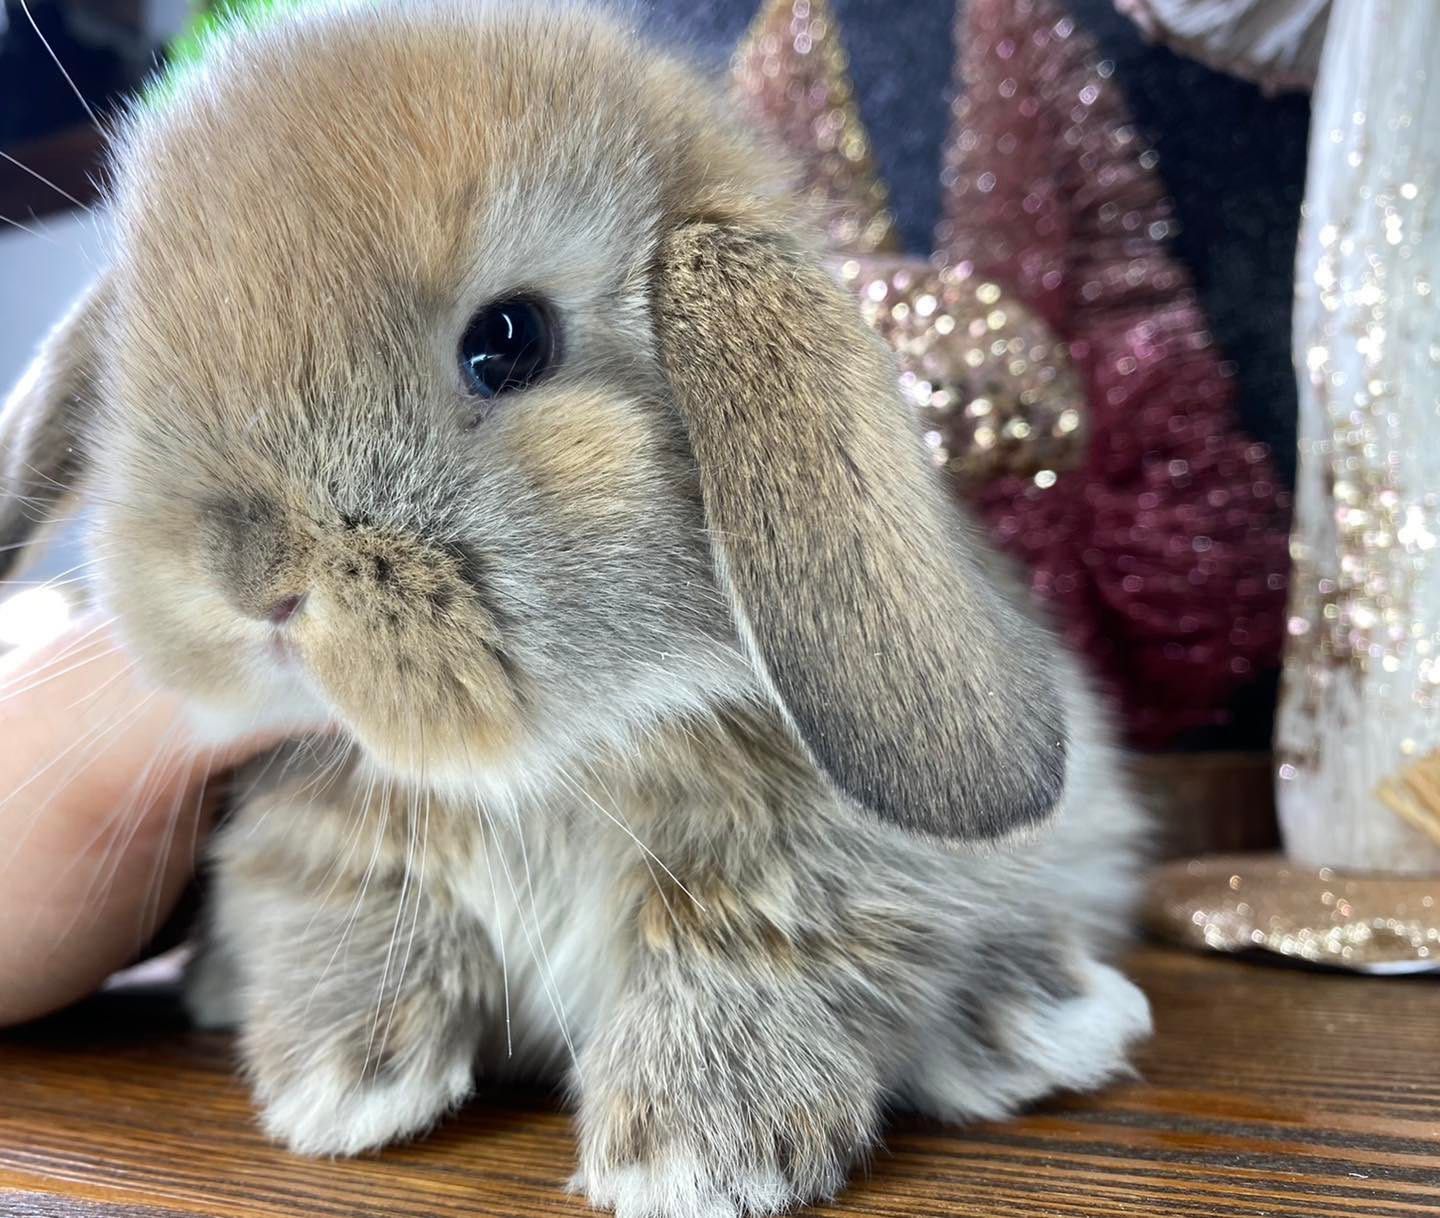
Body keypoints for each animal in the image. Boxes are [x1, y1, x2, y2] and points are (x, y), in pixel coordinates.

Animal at [0, 4, 1146, 1215]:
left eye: (508, 341)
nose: (246, 576)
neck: (552, 763)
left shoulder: (826, 880)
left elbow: (750, 949)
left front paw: (696, 1154)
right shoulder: (307, 842)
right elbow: (335, 901)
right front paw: (341, 1082)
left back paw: (1040, 1019)